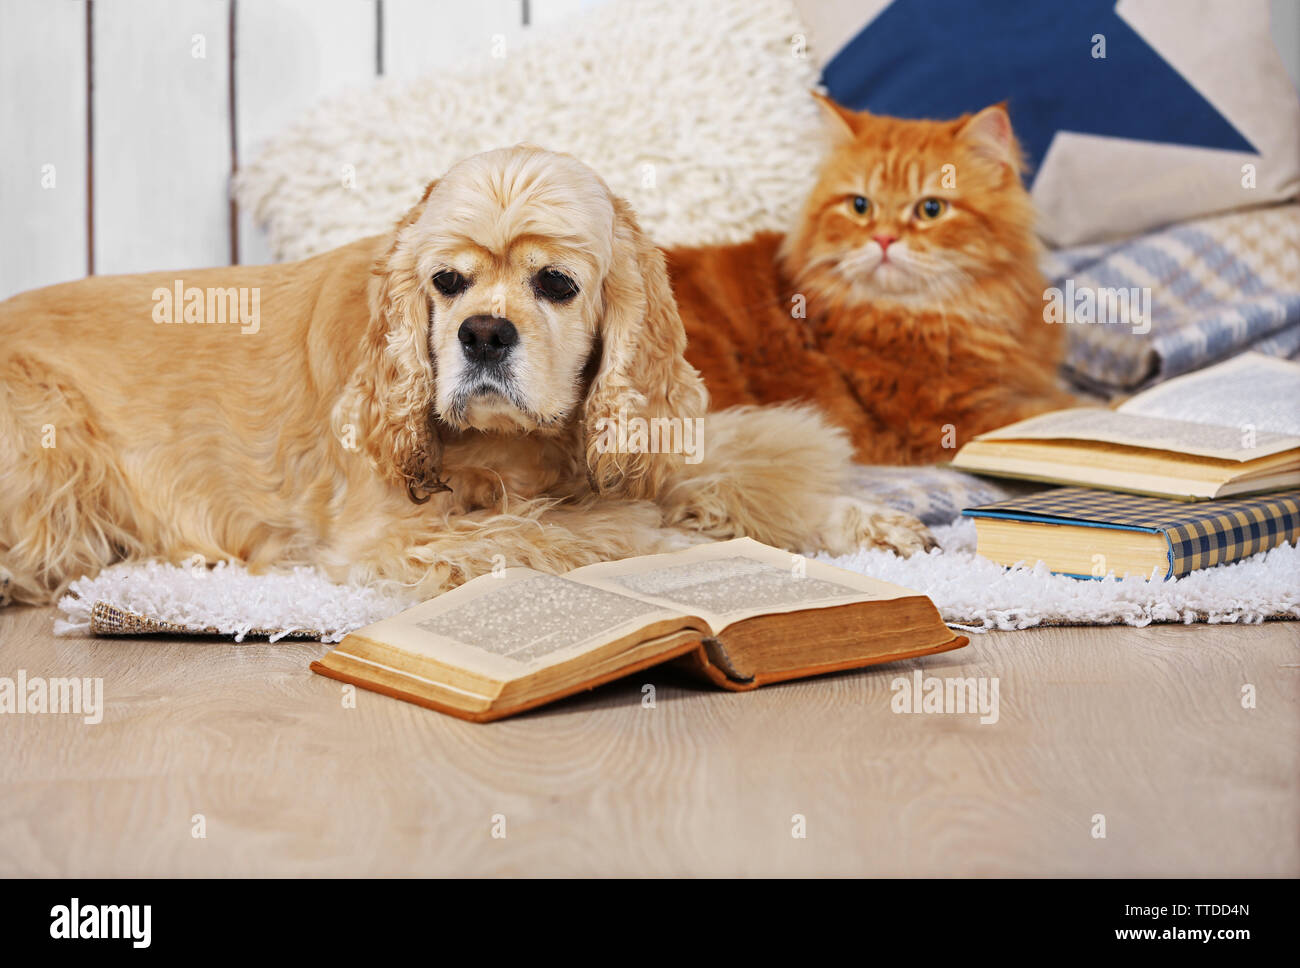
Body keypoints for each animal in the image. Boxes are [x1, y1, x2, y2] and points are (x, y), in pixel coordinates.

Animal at [2, 143, 935, 602]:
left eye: (556, 283)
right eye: (446, 282)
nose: (483, 333)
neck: (527, 448)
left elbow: (733, 476)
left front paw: (860, 520)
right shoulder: (389, 537)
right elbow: (576, 535)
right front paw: (694, 550)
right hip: (48, 434)